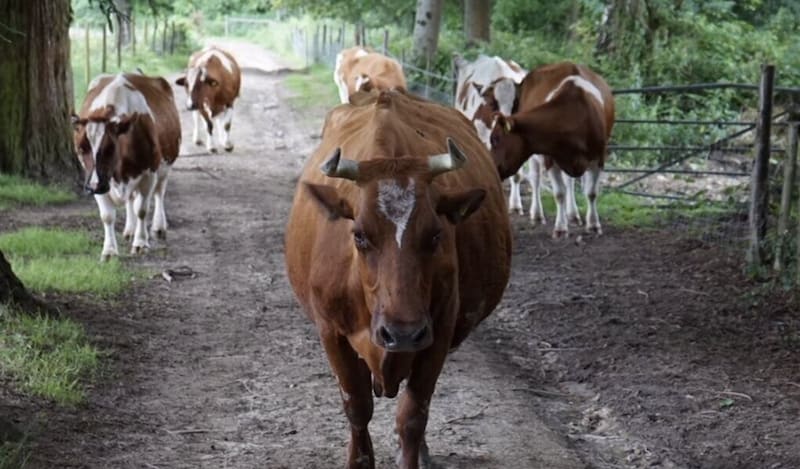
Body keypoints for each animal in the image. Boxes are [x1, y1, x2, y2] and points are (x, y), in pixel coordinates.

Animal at [72, 73, 181, 261]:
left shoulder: (148, 174)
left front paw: (141, 243)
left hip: (164, 169)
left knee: (159, 193)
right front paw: (109, 251)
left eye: (110, 148)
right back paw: (129, 230)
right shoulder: (99, 181)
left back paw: (158, 227)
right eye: (81, 149)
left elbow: (141, 209)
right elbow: (107, 216)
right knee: (130, 199)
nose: (93, 186)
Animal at [285, 89, 511, 469]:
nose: (402, 332)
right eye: (359, 235)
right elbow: (357, 407)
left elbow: (413, 415)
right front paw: (358, 459)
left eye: (435, 235)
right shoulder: (331, 332)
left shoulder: (438, 331)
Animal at [489, 61, 615, 238]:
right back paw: (537, 214)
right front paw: (561, 228)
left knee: (569, 182)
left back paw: (573, 215)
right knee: (535, 180)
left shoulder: (598, 158)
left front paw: (594, 224)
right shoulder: (550, 159)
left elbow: (591, 192)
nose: (490, 167)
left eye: (495, 139)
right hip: (534, 157)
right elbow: (559, 193)